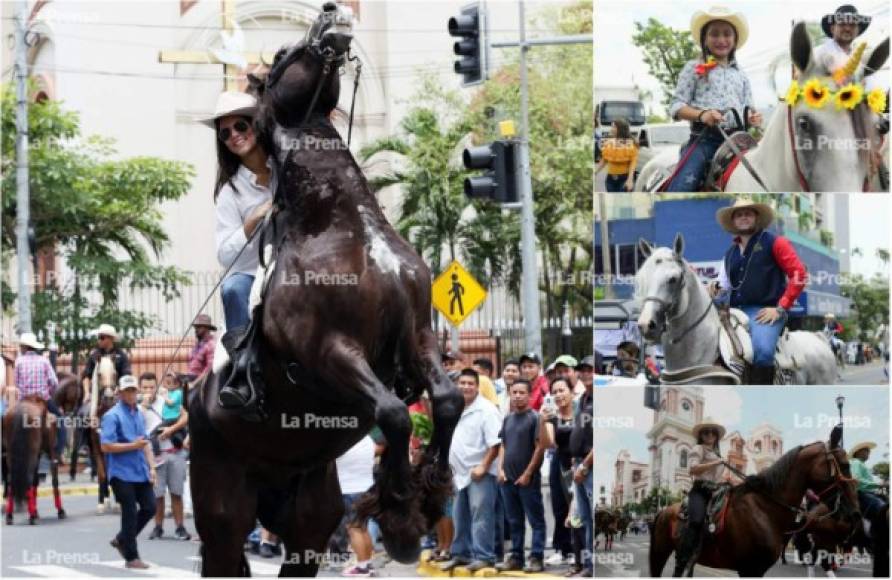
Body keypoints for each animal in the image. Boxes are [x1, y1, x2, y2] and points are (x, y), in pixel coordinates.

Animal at [2, 396, 66, 524]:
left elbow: (35, 483)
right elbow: (55, 481)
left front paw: (36, 511)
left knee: (11, 482)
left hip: (11, 456)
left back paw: (10, 515)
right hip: (31, 454)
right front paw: (60, 510)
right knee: (28, 479)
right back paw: (31, 516)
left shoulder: (38, 455)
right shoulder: (52, 454)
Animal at [187, 3, 460, 576]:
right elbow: (394, 414)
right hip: (223, 516)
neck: (341, 225)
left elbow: (446, 401)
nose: (333, 14)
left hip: (307, 518)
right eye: (283, 55)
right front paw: (400, 513)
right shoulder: (329, 352)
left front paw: (428, 495)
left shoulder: (418, 338)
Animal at [648, 426, 864, 576]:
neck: (765, 510)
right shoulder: (749, 568)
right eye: (845, 465)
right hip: (661, 552)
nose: (855, 514)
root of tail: (662, 511)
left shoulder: (757, 569)